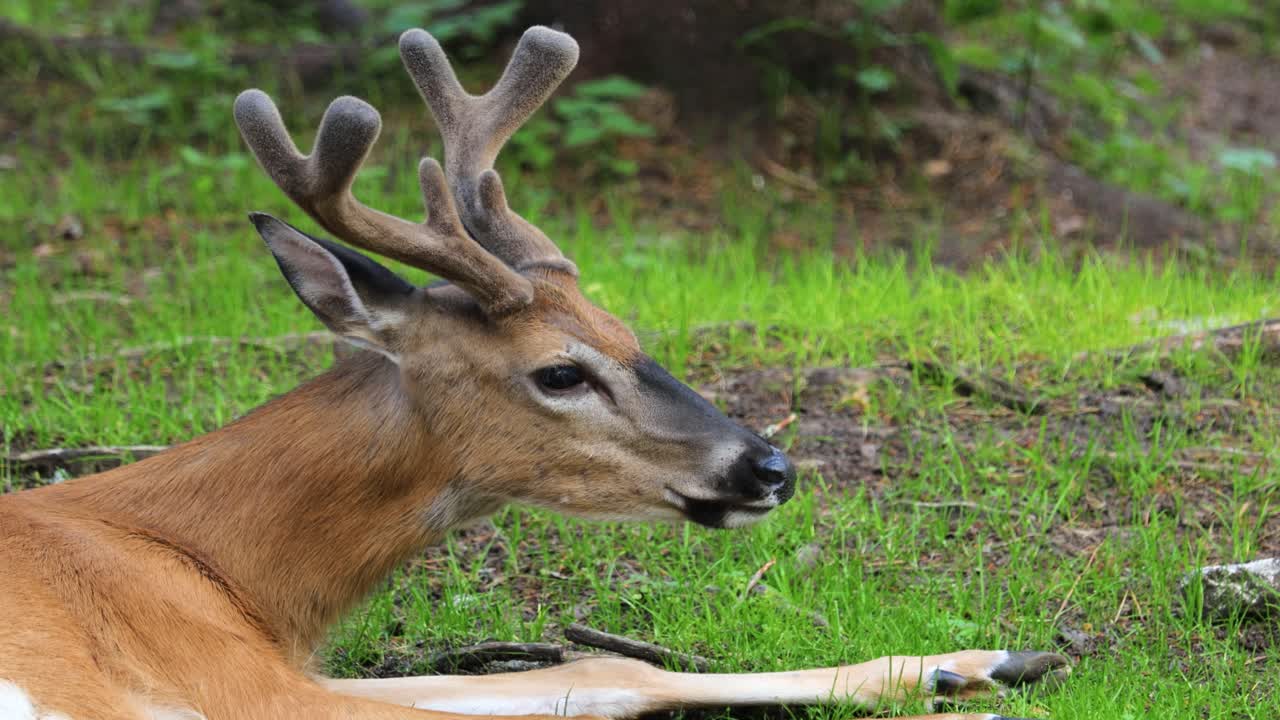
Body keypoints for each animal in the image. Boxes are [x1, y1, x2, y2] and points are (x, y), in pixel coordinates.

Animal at [0, 26, 1071, 720]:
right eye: (559, 372)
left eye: (627, 328)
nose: (771, 467)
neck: (209, 567)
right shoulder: (238, 687)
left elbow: (596, 674)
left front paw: (976, 664)